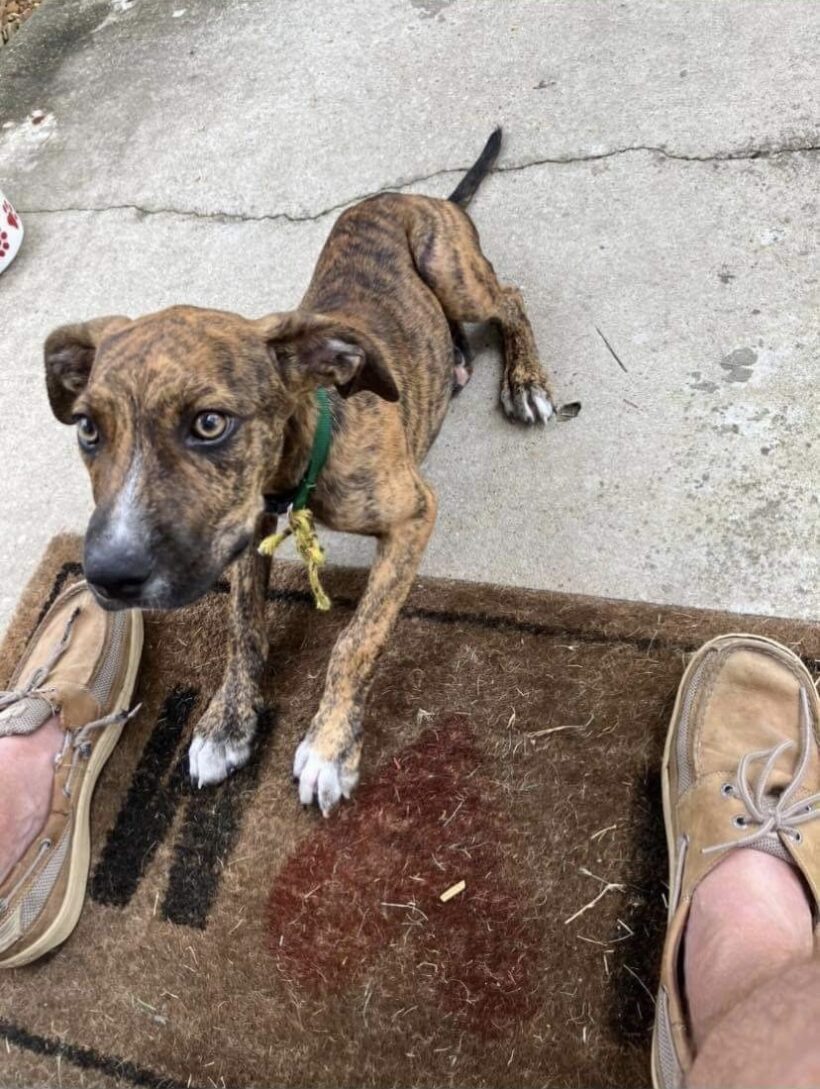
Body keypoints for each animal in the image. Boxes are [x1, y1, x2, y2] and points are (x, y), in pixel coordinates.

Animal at [43, 128, 556, 815]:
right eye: (87, 429)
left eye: (210, 423)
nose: (107, 579)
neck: (299, 460)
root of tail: (415, 196)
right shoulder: (241, 530)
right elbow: (242, 628)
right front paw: (226, 724)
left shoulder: (413, 514)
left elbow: (356, 639)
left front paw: (330, 746)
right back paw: (454, 358)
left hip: (451, 269)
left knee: (510, 298)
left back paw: (524, 380)